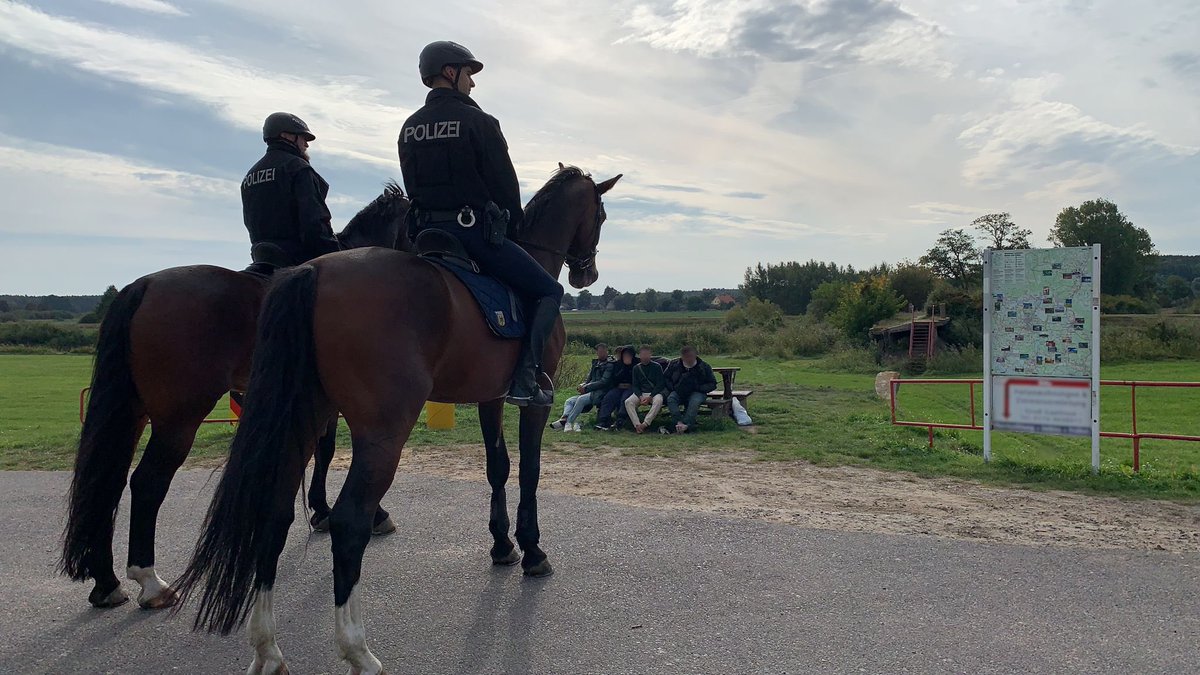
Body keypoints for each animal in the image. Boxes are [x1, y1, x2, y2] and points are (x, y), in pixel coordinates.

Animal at [59, 183, 410, 611]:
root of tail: (143, 287)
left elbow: (322, 451)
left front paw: (322, 511)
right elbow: (329, 451)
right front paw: (365, 513)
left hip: (132, 413)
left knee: (105, 484)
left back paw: (106, 582)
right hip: (179, 419)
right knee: (146, 483)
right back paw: (151, 582)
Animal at [172, 166, 620, 674]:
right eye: (601, 215)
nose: (588, 272)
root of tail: (313, 270)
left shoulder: (490, 398)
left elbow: (498, 468)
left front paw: (502, 545)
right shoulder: (534, 401)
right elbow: (529, 471)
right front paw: (531, 550)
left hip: (302, 419)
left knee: (274, 511)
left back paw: (267, 648)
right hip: (382, 433)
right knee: (350, 524)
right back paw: (358, 650)